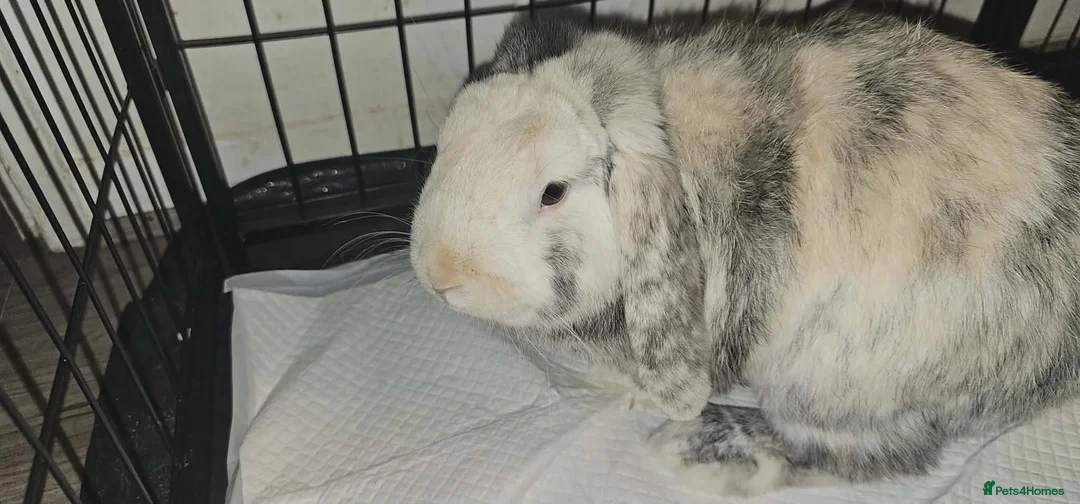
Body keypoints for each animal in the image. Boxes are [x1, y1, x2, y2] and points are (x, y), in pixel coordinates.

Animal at [407, 7, 1080, 497]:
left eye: (553, 192)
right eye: (445, 141)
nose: (440, 274)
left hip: (830, 383)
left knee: (859, 456)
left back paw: (699, 450)